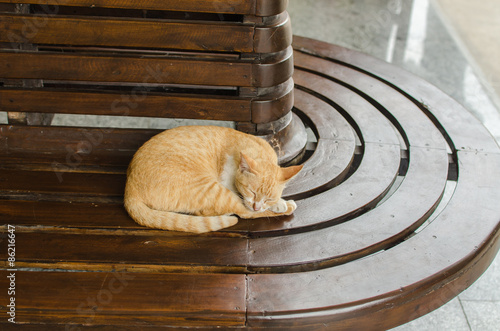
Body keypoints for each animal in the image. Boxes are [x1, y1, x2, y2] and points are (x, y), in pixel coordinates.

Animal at [125, 126, 304, 235]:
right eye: (251, 191)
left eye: (269, 198)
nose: (256, 206)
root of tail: (129, 190)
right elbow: (247, 207)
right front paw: (281, 204)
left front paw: (277, 203)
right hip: (212, 189)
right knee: (243, 213)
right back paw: (288, 206)